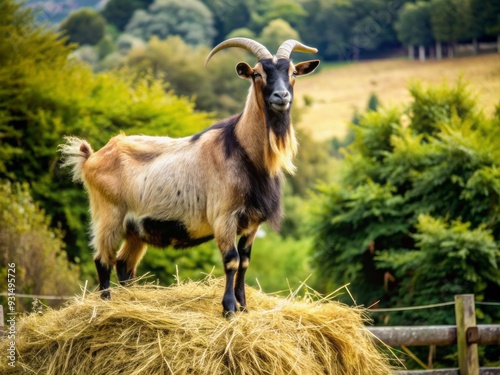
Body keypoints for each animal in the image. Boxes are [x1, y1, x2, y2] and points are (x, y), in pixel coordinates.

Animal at [59, 38, 320, 316]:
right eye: (258, 73)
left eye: (292, 73)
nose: (281, 96)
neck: (244, 151)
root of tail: (91, 157)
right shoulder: (223, 217)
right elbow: (231, 261)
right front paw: (229, 309)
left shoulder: (252, 223)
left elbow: (245, 262)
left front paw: (244, 307)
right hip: (108, 214)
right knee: (102, 260)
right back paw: (106, 305)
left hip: (134, 229)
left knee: (123, 264)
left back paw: (131, 303)